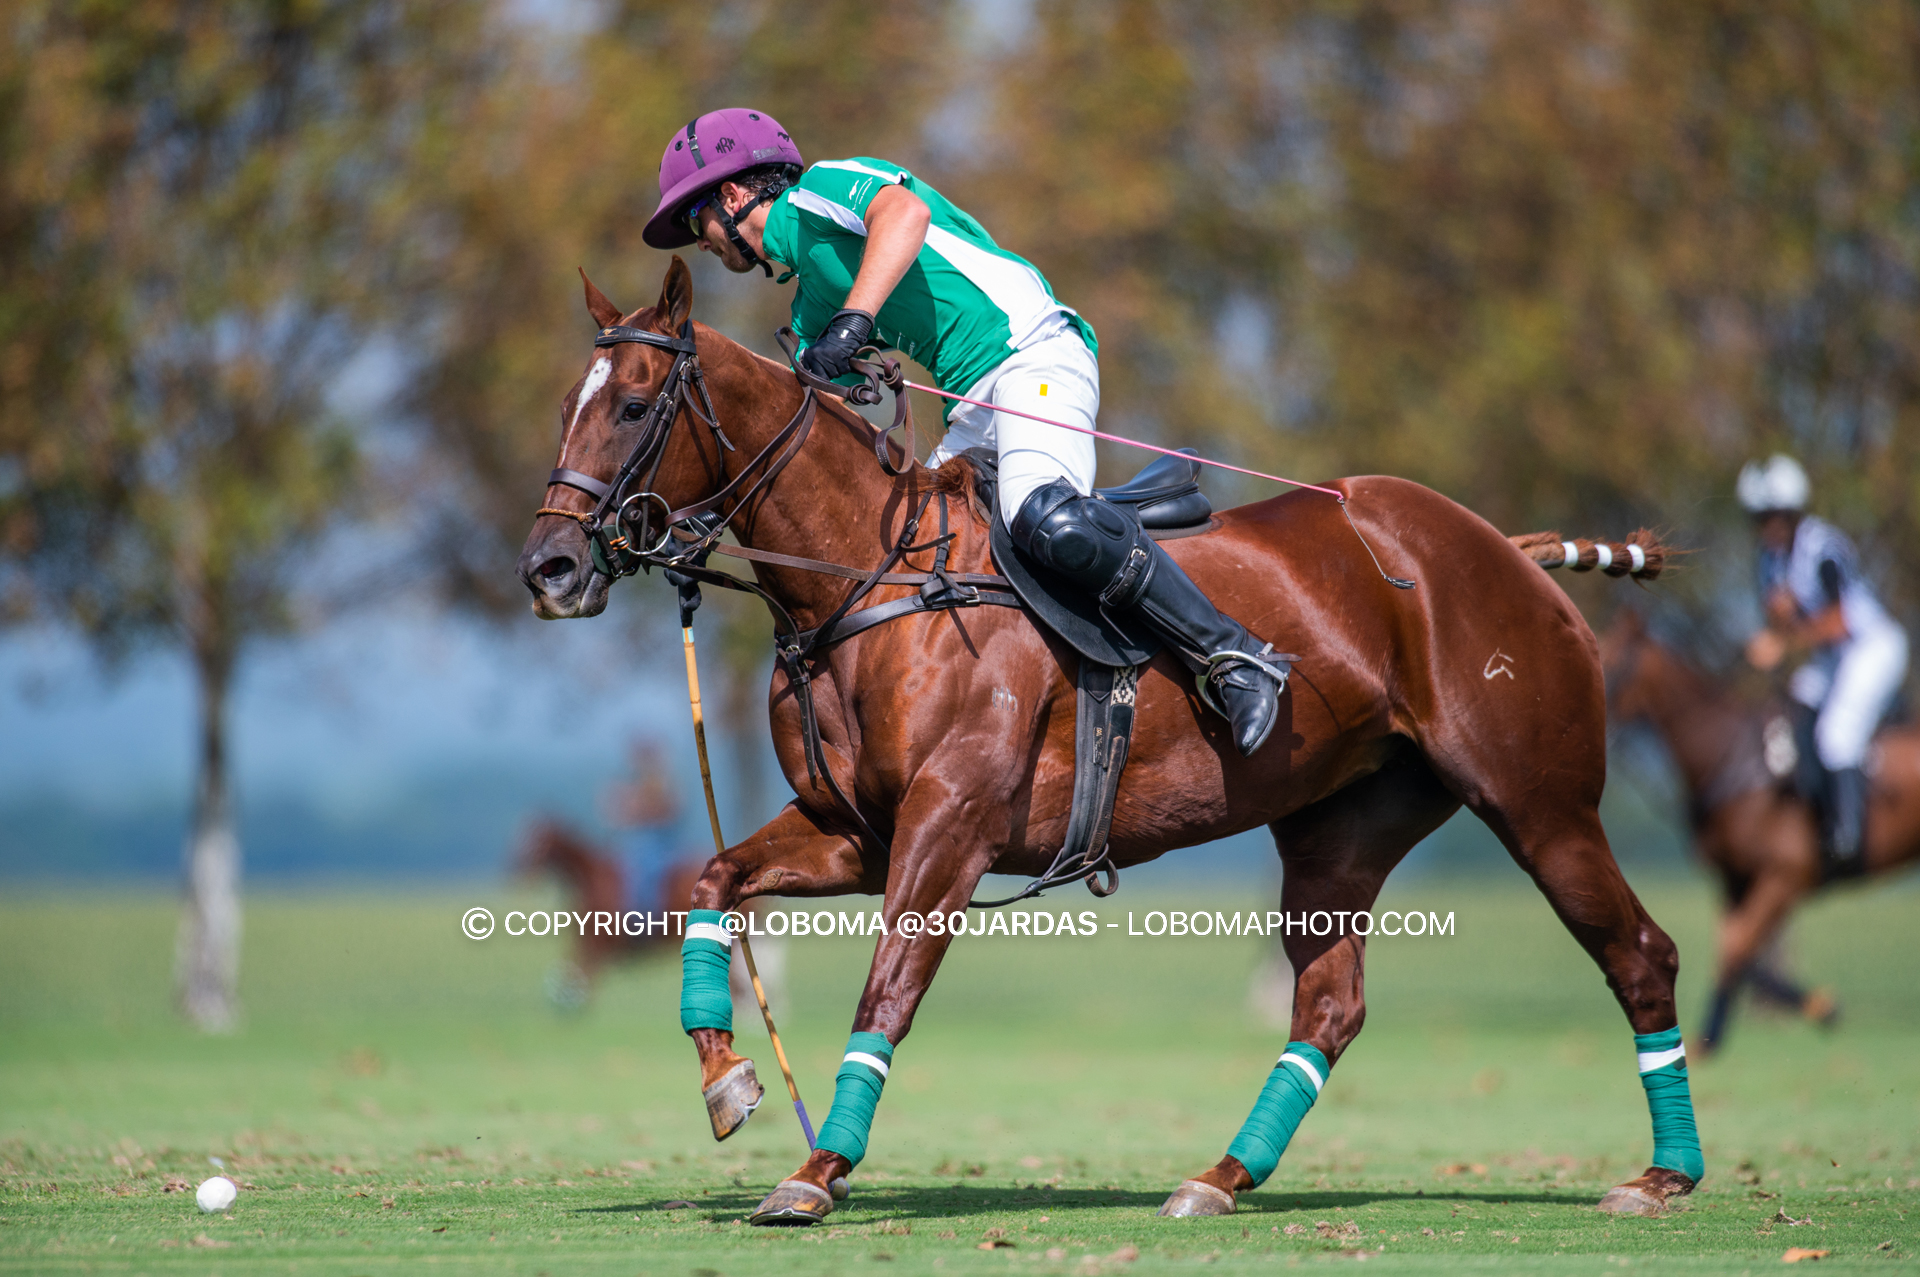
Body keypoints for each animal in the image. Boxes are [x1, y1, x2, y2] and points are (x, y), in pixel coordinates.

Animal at [510, 261, 1697, 1228]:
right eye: (565, 406)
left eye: (632, 404)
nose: (550, 569)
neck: (868, 579)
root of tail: (1512, 550)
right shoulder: (854, 832)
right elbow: (713, 880)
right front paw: (728, 1079)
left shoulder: (948, 828)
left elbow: (887, 987)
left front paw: (817, 1169)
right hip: (1341, 829)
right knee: (1331, 1000)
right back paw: (1218, 1178)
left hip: (1538, 800)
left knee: (1641, 951)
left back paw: (1661, 1176)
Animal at [1589, 614, 1920, 1052]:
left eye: (1611, 660)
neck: (1729, 759)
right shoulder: (1735, 878)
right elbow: (1736, 948)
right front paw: (1819, 1006)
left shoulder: (1786, 875)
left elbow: (1737, 947)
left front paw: (1709, 1039)